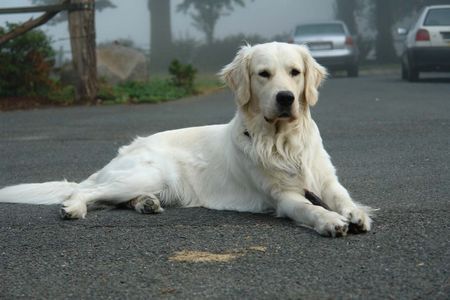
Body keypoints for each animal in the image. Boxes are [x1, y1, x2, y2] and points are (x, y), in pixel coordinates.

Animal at [0, 42, 372, 238]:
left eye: (295, 72)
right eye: (263, 74)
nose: (286, 98)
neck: (282, 141)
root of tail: (126, 149)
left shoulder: (327, 180)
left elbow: (342, 197)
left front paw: (355, 213)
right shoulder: (283, 197)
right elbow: (309, 207)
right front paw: (330, 221)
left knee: (113, 198)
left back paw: (146, 203)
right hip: (147, 172)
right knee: (87, 192)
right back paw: (74, 207)